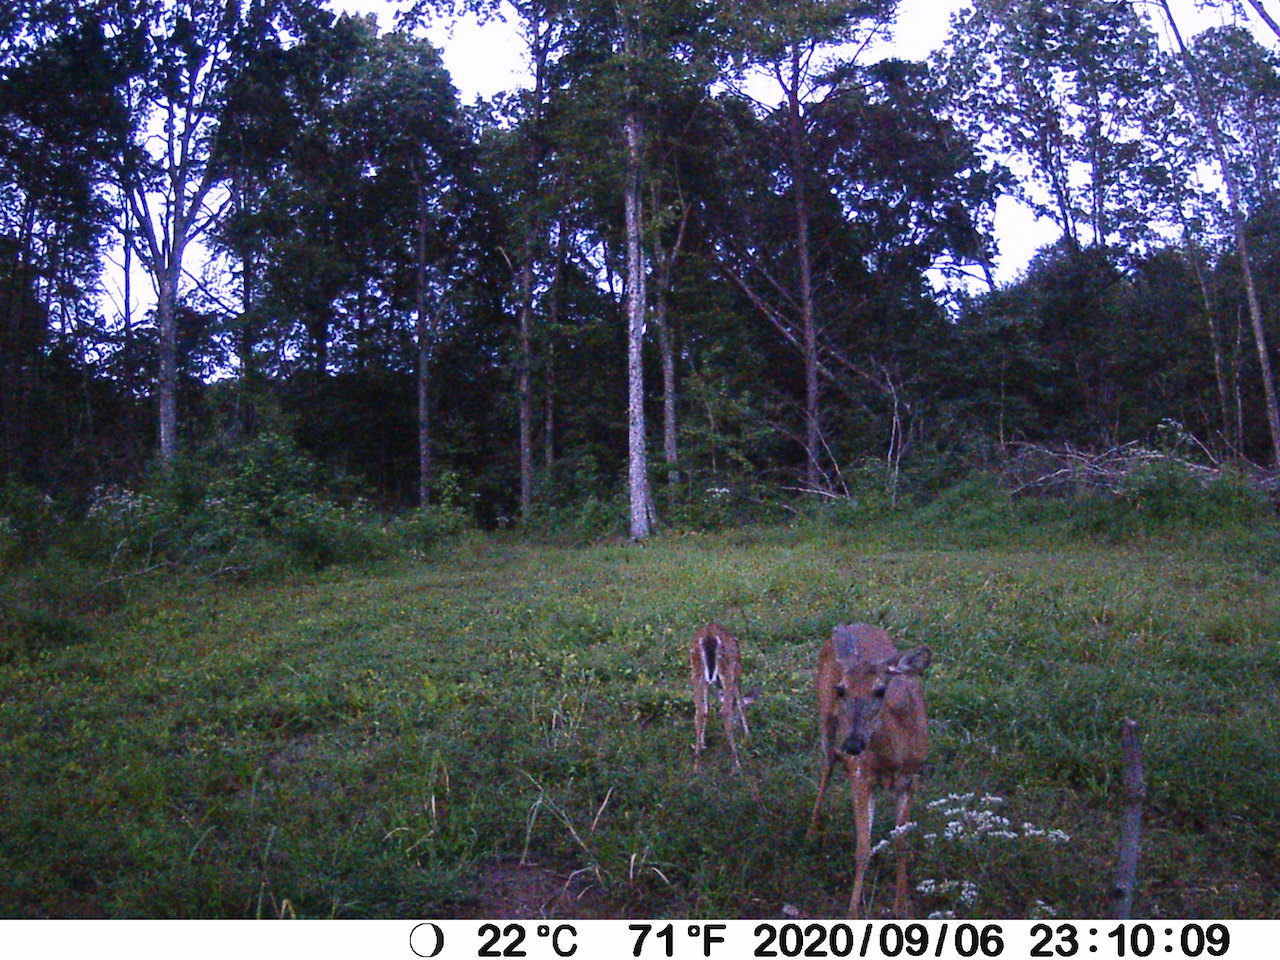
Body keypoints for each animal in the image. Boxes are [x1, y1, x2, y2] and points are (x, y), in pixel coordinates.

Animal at [690, 623, 756, 772]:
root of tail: (709, 635)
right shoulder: (737, 673)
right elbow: (741, 704)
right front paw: (748, 736)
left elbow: (706, 709)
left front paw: (702, 742)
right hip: (728, 669)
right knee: (725, 711)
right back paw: (736, 763)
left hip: (697, 671)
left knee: (698, 712)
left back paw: (696, 764)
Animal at [805, 623, 932, 919]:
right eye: (841, 690)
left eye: (880, 690)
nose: (853, 743)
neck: (893, 758)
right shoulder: (861, 777)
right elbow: (863, 848)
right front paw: (853, 911)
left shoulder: (911, 779)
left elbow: (901, 843)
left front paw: (902, 906)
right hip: (825, 715)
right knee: (828, 763)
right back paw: (811, 831)